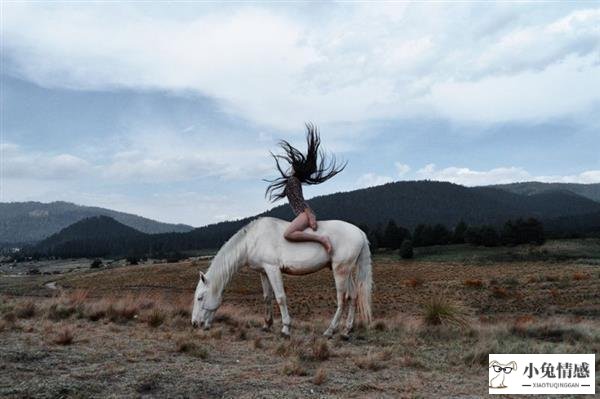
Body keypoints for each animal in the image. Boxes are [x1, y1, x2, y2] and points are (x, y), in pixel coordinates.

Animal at [191, 217, 370, 340]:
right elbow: (267, 297)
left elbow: (280, 298)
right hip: (347, 272)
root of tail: (359, 232)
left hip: (340, 271)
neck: (252, 240)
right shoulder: (263, 272)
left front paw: (285, 329)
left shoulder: (273, 269)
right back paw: (346, 331)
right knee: (353, 296)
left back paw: (330, 331)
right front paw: (267, 324)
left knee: (342, 299)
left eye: (200, 298)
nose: (194, 324)